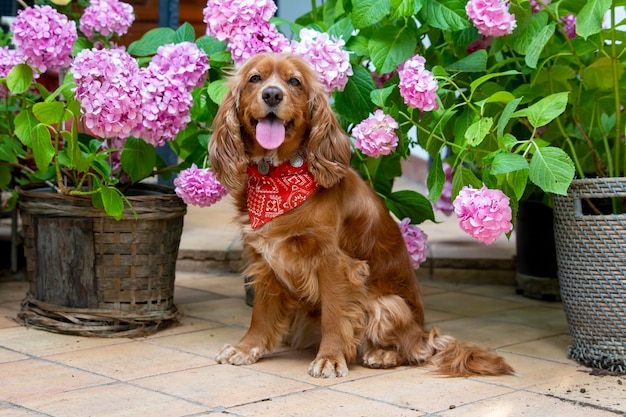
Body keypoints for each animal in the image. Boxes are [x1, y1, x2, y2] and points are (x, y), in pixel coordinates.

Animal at [210, 52, 512, 376]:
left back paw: (384, 354)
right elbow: (261, 312)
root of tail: (425, 331)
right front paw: (246, 348)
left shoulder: (334, 263)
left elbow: (334, 314)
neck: (278, 177)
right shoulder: (265, 259)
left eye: (294, 81)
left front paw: (330, 358)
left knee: (415, 350)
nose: (272, 94)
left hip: (388, 304)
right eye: (255, 78)